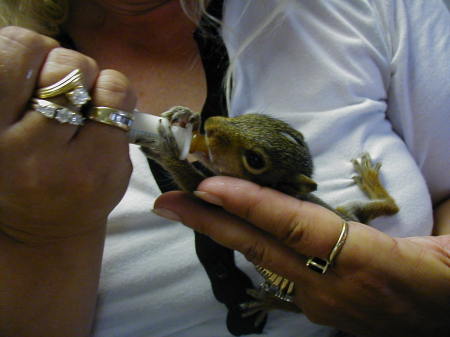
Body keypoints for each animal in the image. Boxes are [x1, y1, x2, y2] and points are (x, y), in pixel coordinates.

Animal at [139, 107, 400, 318]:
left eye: (254, 159)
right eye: (251, 116)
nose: (211, 123)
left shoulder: (226, 204)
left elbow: (195, 188)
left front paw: (165, 148)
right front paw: (186, 116)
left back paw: (269, 302)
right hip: (351, 212)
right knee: (391, 206)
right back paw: (369, 178)